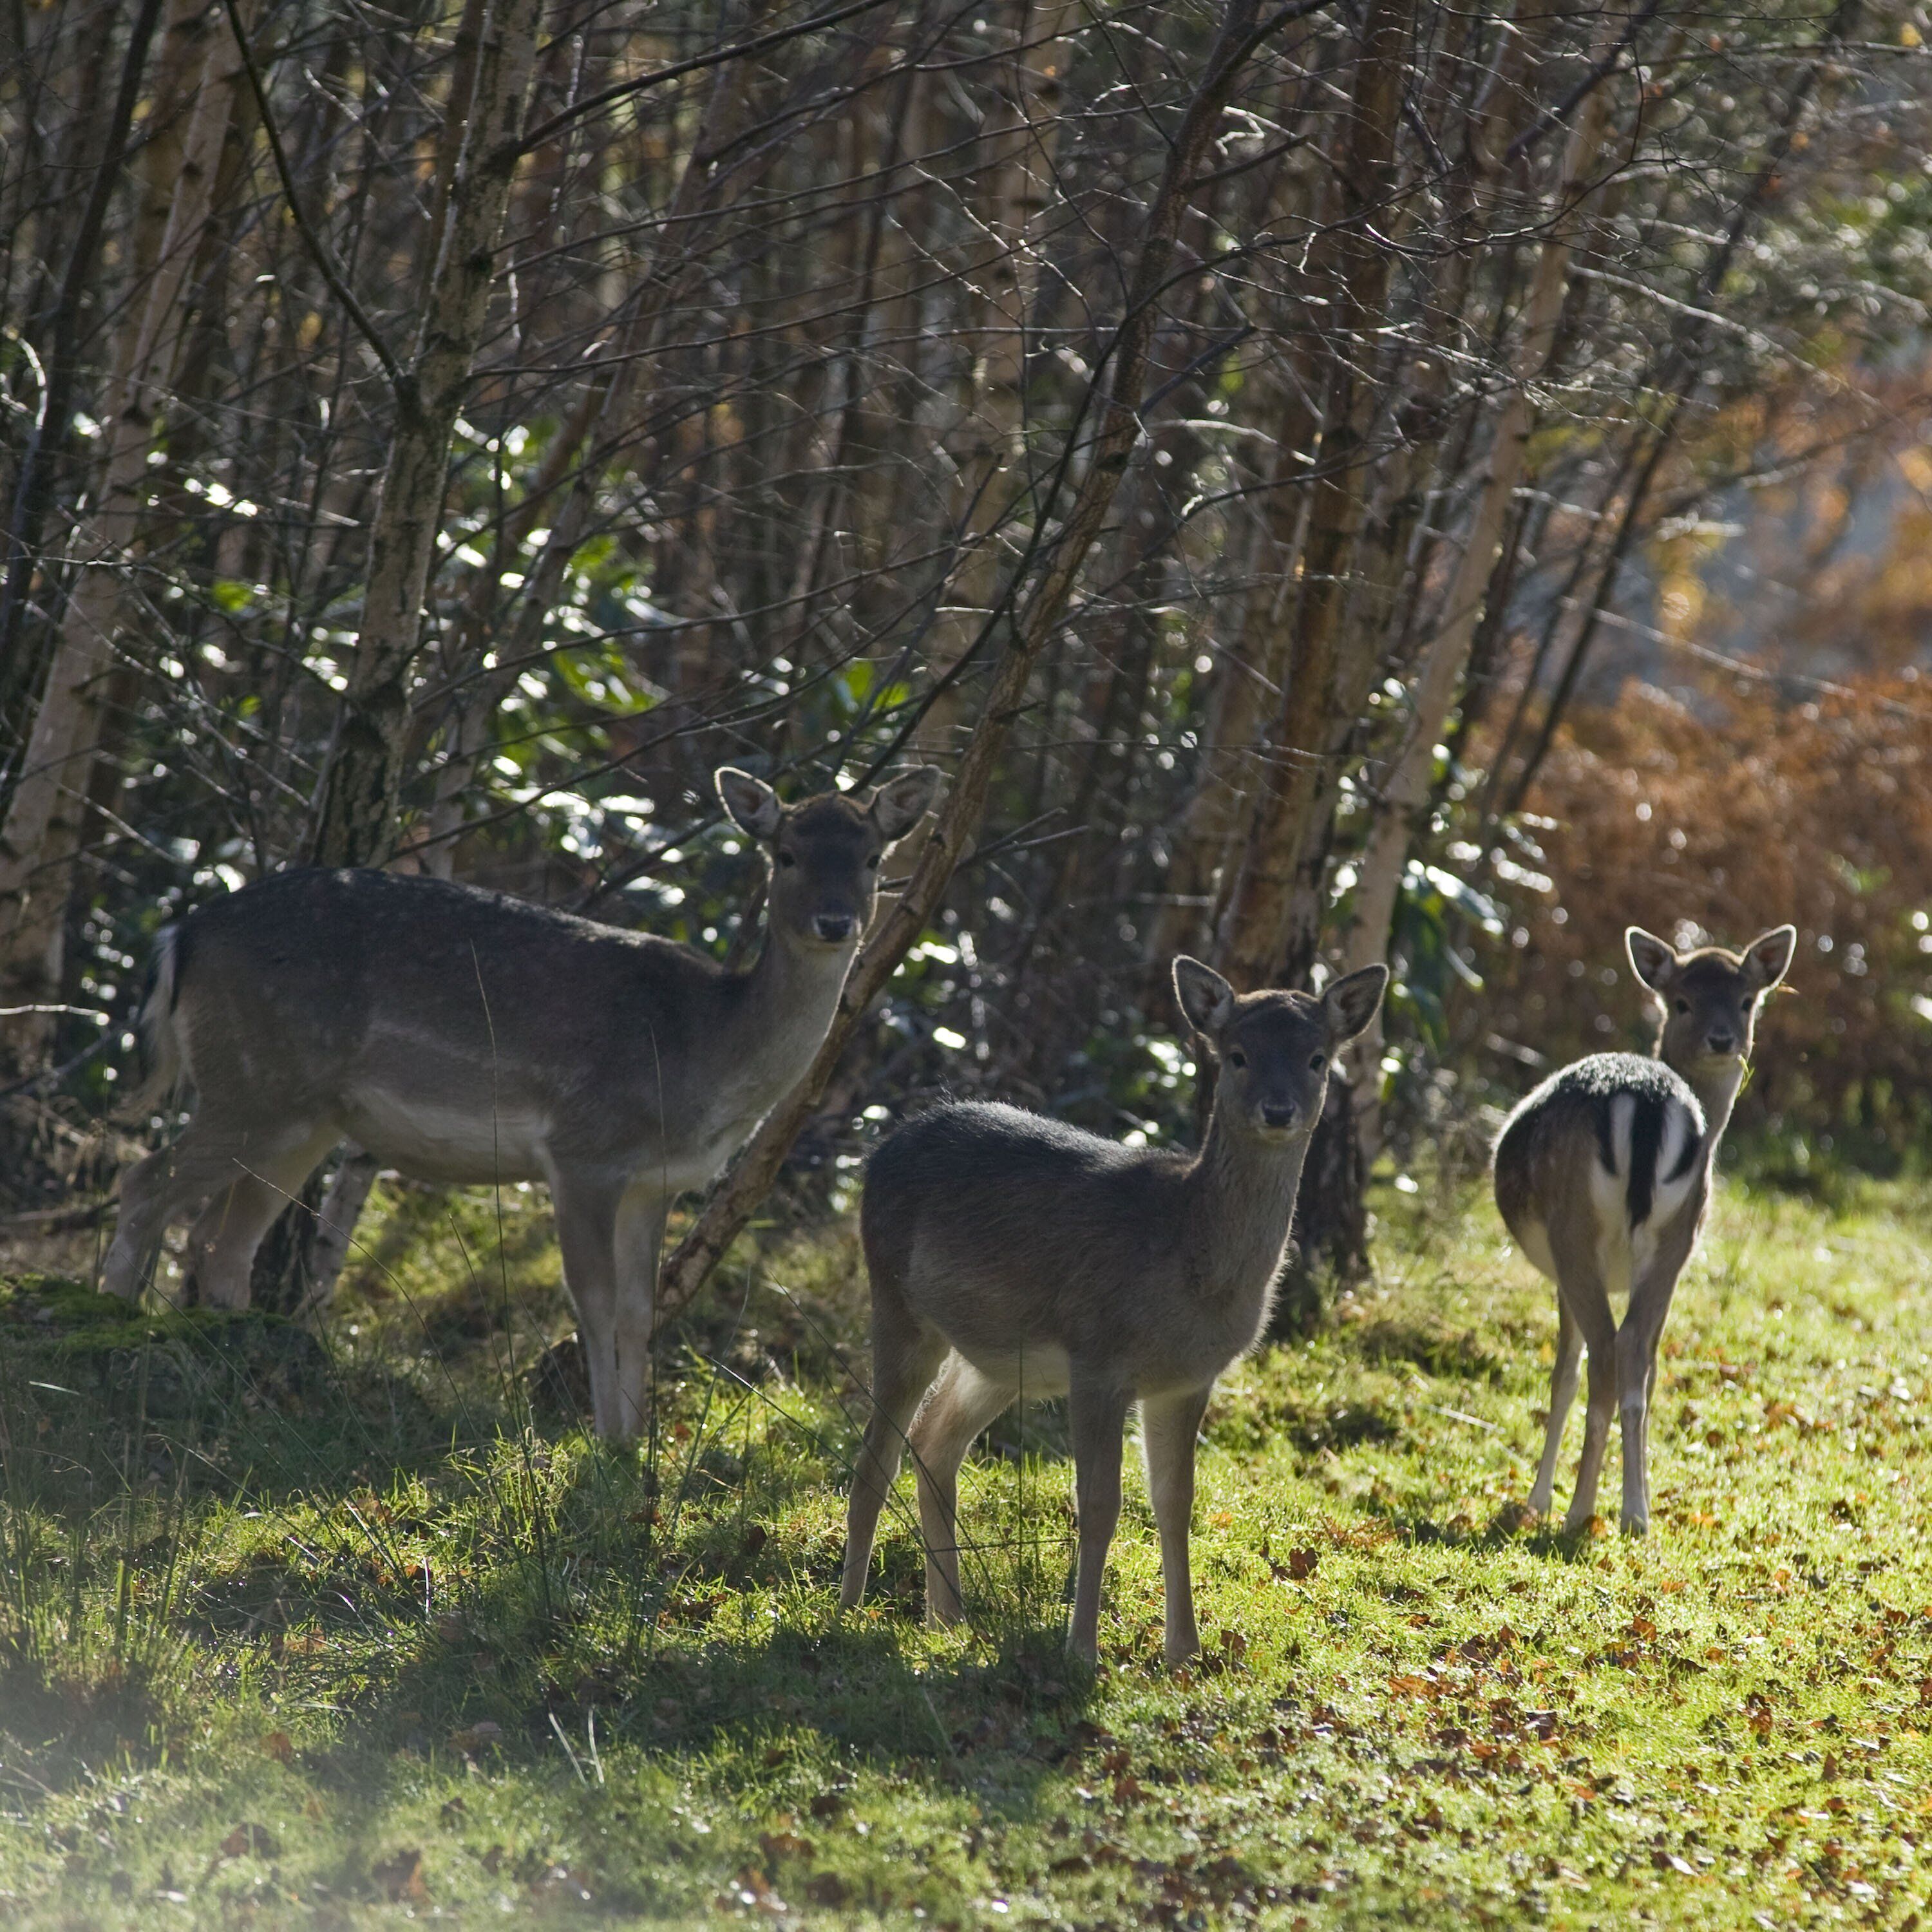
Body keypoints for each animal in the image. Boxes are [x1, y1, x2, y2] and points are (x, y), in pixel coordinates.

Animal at [101, 764, 942, 1441]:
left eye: (873, 858)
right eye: (786, 853)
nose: (835, 922)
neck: (701, 1051)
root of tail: (180, 935)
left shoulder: (656, 1182)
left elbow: (639, 1311)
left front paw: (636, 1444)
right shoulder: (584, 1151)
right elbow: (593, 1301)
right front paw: (607, 1443)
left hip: (301, 1115)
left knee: (221, 1238)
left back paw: (235, 1365)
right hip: (253, 1084)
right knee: (144, 1180)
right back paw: (106, 1322)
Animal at [840, 955, 1389, 1666]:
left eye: (1318, 1058)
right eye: (1236, 1055)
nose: (1278, 1110)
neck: (1189, 1261)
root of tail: (874, 1155)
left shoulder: (1186, 1380)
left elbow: (1175, 1502)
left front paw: (1185, 1651)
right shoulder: (1098, 1357)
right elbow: (1099, 1504)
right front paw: (1082, 1649)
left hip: (998, 1360)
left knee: (935, 1445)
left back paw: (949, 1620)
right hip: (897, 1301)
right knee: (874, 1457)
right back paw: (849, 1611)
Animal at [1493, 923, 1795, 1536]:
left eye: (1747, 999)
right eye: (1682, 1002)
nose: (1723, 1040)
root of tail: (1652, 1104)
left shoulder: (1564, 1269)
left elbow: (1564, 1375)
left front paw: (1539, 1499)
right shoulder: (1670, 1259)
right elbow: (1652, 1374)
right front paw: (1639, 1497)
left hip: (1573, 1231)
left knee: (1606, 1353)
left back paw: (1580, 1511)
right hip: (1676, 1233)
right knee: (1633, 1352)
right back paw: (1634, 1512)